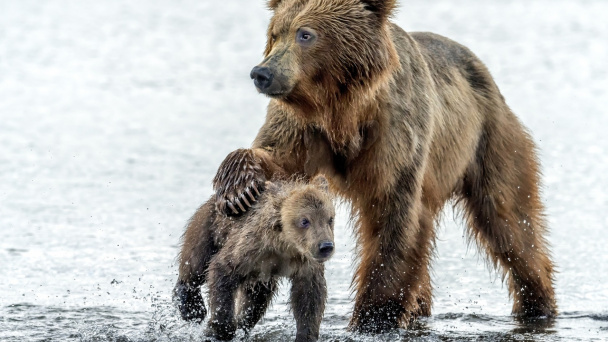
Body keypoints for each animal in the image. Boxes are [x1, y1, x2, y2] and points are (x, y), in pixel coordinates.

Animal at [205, 0, 556, 332]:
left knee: (510, 222)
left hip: (490, 140)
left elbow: (392, 219)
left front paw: (373, 317)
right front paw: (239, 187)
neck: (342, 112)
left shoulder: (395, 134)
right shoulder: (301, 129)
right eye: (275, 33)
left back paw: (537, 303)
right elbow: (274, 159)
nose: (261, 73)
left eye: (305, 34)